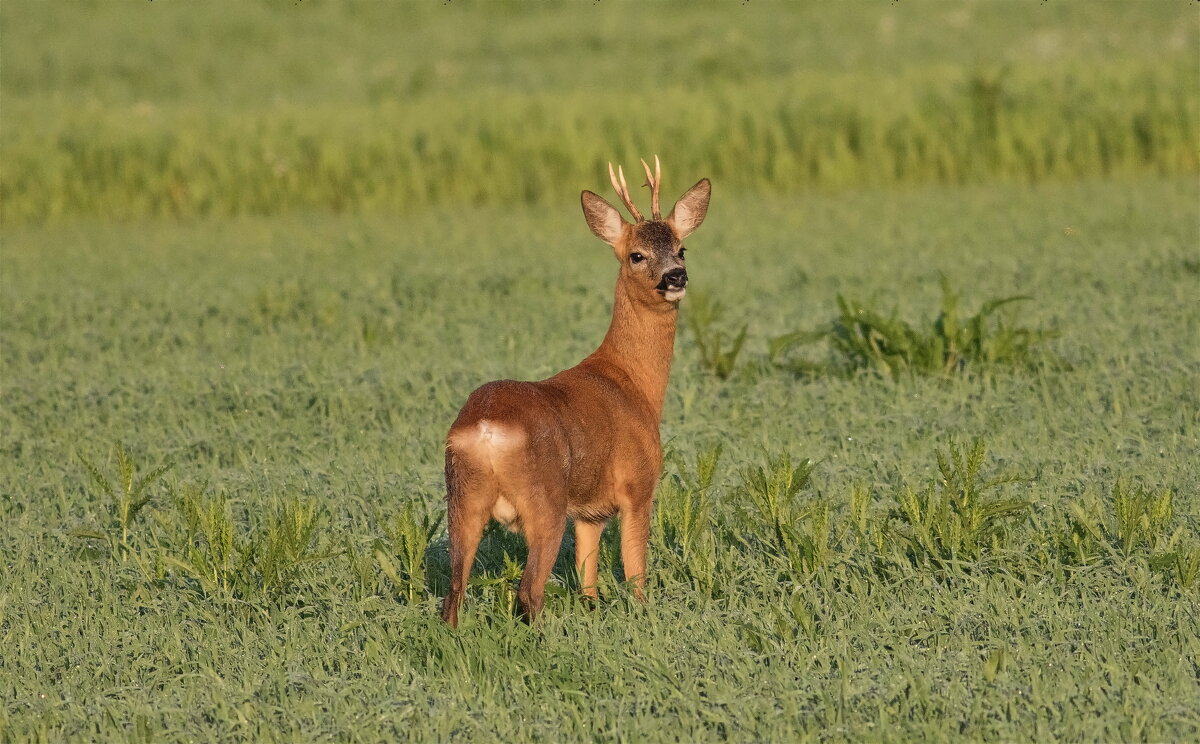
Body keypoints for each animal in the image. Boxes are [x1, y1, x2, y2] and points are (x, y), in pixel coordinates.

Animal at [441, 157, 705, 628]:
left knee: (452, 593)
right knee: (528, 591)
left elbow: (588, 578)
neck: (633, 384)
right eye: (637, 255)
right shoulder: (637, 484)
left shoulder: (589, 512)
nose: (676, 276)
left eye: (681, 248)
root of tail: (485, 429)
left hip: (461, 497)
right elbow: (636, 572)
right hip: (545, 501)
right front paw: (644, 617)